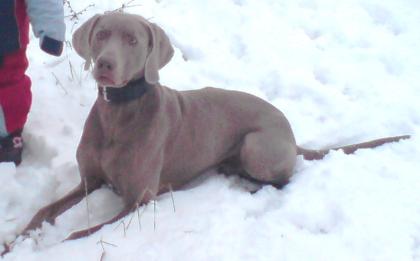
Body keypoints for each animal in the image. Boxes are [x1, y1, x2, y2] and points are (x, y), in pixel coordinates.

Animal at [17, 12, 410, 241]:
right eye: (102, 34)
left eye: (132, 40)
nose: (105, 65)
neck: (119, 113)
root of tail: (292, 135)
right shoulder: (91, 179)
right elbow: (43, 211)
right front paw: (17, 238)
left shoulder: (139, 199)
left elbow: (78, 235)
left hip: (256, 144)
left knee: (286, 176)